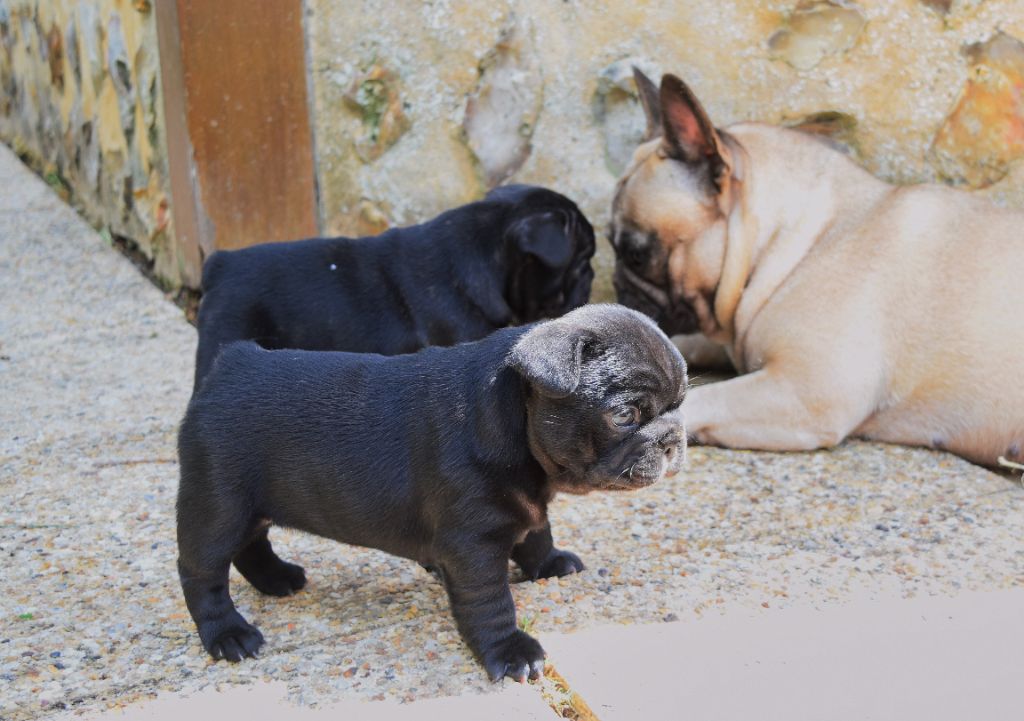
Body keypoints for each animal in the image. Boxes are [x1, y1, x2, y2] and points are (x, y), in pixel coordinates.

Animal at [176, 304, 687, 681]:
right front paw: (511, 651)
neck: (515, 419)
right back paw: (228, 635)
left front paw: (548, 563)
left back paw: (276, 578)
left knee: (252, 543)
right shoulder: (474, 545)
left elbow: (538, 532)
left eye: (681, 404)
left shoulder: (528, 506)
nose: (673, 439)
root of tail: (231, 364)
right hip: (218, 504)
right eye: (624, 416)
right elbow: (490, 601)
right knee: (203, 571)